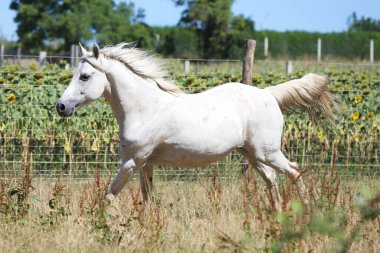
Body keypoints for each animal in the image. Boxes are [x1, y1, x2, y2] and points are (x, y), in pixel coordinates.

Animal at [56, 42, 336, 211]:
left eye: (84, 76)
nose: (61, 106)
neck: (145, 109)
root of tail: (268, 94)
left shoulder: (132, 161)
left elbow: (109, 194)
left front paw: (97, 222)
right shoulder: (145, 163)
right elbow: (147, 197)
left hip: (267, 152)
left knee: (294, 171)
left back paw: (308, 210)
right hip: (252, 154)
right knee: (272, 178)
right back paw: (276, 214)